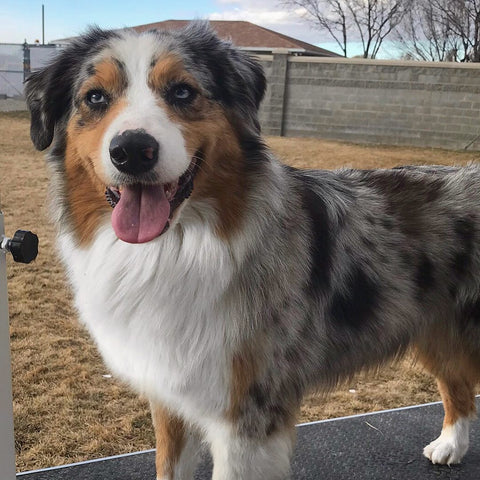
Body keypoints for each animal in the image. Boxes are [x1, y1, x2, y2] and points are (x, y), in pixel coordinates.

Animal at [25, 21, 480, 480]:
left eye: (182, 92)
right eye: (95, 97)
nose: (132, 151)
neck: (174, 248)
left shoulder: (247, 415)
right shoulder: (170, 394)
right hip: (436, 331)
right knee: (458, 385)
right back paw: (450, 445)